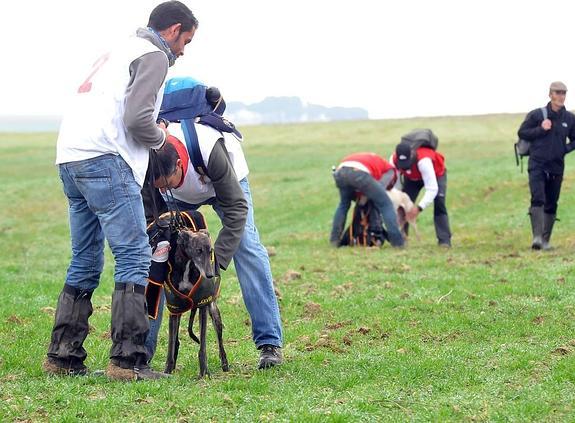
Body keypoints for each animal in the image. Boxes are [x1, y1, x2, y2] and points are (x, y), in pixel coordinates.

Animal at [164, 230, 230, 380]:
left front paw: (204, 373)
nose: (210, 275)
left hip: (214, 312)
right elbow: (170, 345)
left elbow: (203, 347)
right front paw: (167, 371)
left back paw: (225, 364)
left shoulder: (202, 307)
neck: (188, 266)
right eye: (198, 251)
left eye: (210, 251)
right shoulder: (174, 309)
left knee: (220, 340)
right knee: (176, 341)